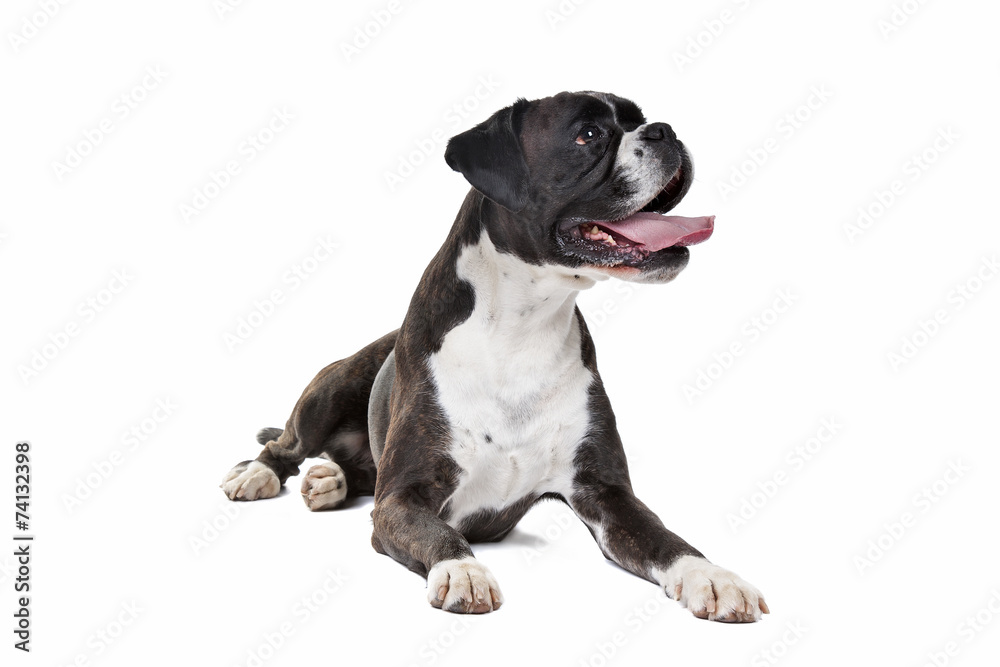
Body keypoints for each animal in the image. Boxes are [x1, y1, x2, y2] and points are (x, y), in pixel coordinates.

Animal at [223, 91, 772, 624]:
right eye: (588, 134)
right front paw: (463, 570)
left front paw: (712, 576)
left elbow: (665, 539)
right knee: (288, 445)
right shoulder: (402, 498)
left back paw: (331, 480)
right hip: (331, 390)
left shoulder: (605, 494)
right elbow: (439, 533)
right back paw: (257, 475)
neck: (522, 328)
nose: (664, 131)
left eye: (638, 117)